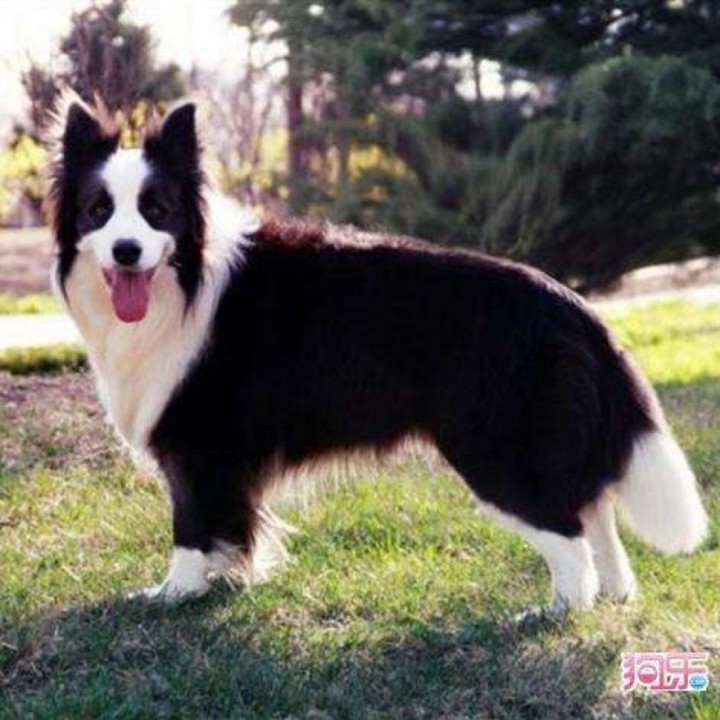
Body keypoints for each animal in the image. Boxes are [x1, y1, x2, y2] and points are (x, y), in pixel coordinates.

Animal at [47, 98, 708, 612]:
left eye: (157, 211)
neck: (183, 278)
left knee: (567, 529)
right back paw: (615, 595)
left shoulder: (199, 443)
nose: (126, 251)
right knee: (594, 510)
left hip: (495, 448)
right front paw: (228, 580)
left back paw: (559, 611)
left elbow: (190, 525)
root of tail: (574, 306)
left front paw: (174, 595)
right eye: (98, 211)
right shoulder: (225, 458)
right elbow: (232, 524)